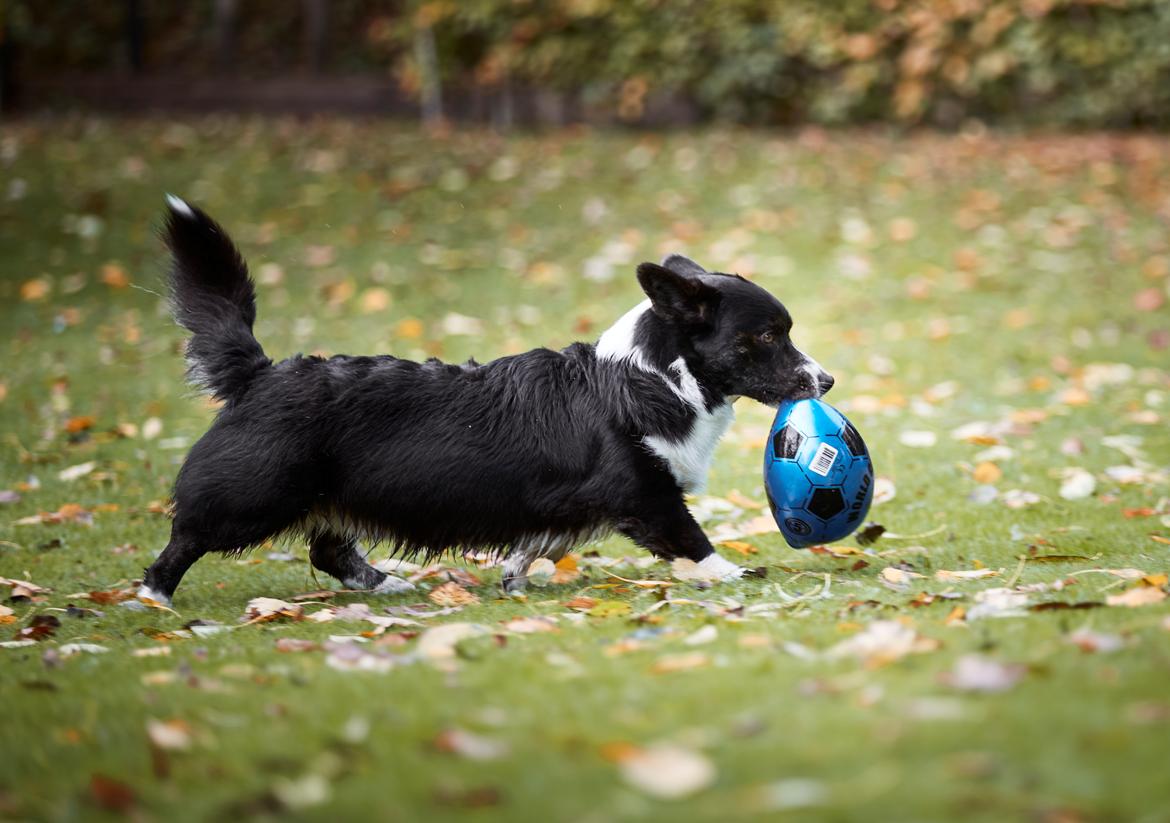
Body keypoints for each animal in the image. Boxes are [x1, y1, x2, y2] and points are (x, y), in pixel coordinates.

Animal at [136, 193, 833, 604]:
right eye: (768, 336)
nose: (825, 381)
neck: (658, 376)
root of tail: (260, 372)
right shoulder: (645, 495)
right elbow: (691, 537)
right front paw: (733, 575)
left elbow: (538, 541)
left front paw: (514, 576)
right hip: (255, 494)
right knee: (187, 538)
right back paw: (154, 598)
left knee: (327, 545)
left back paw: (385, 583)